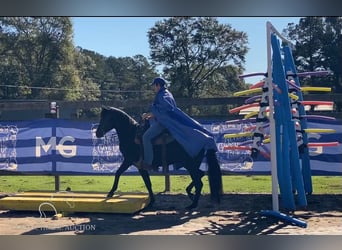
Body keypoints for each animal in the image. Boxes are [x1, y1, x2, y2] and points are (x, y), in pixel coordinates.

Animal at [95, 106, 223, 209]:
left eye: (106, 118)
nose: (97, 133)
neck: (131, 135)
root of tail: (206, 139)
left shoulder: (131, 161)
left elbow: (121, 174)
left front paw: (111, 192)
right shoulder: (137, 165)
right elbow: (145, 182)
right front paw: (151, 201)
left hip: (190, 165)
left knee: (199, 182)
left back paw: (192, 205)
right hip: (190, 165)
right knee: (201, 175)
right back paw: (190, 193)